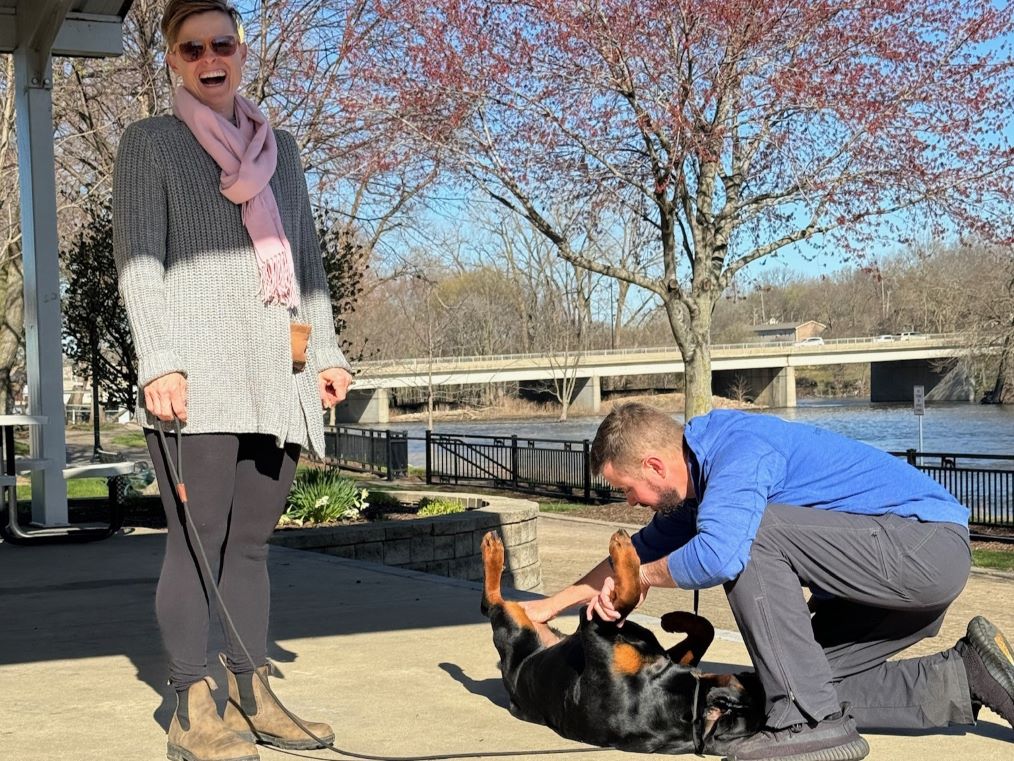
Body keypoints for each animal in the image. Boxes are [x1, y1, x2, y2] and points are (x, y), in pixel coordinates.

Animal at [480, 531, 762, 758]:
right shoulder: (663, 656)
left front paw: (623, 551)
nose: (751, 671)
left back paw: (492, 551)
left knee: (491, 602)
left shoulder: (594, 627)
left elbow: (628, 596)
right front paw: (674, 619)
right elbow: (706, 629)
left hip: (514, 627)